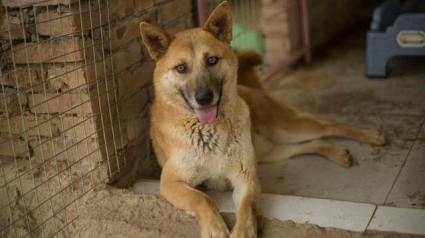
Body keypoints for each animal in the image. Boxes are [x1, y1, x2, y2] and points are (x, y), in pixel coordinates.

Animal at [138, 2, 384, 238]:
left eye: (211, 60)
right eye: (181, 68)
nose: (204, 98)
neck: (209, 130)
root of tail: (249, 89)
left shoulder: (246, 178)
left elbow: (247, 207)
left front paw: (243, 232)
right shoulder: (170, 183)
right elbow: (202, 199)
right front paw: (214, 227)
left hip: (286, 128)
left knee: (327, 126)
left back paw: (370, 135)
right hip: (271, 150)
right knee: (312, 143)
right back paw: (337, 153)